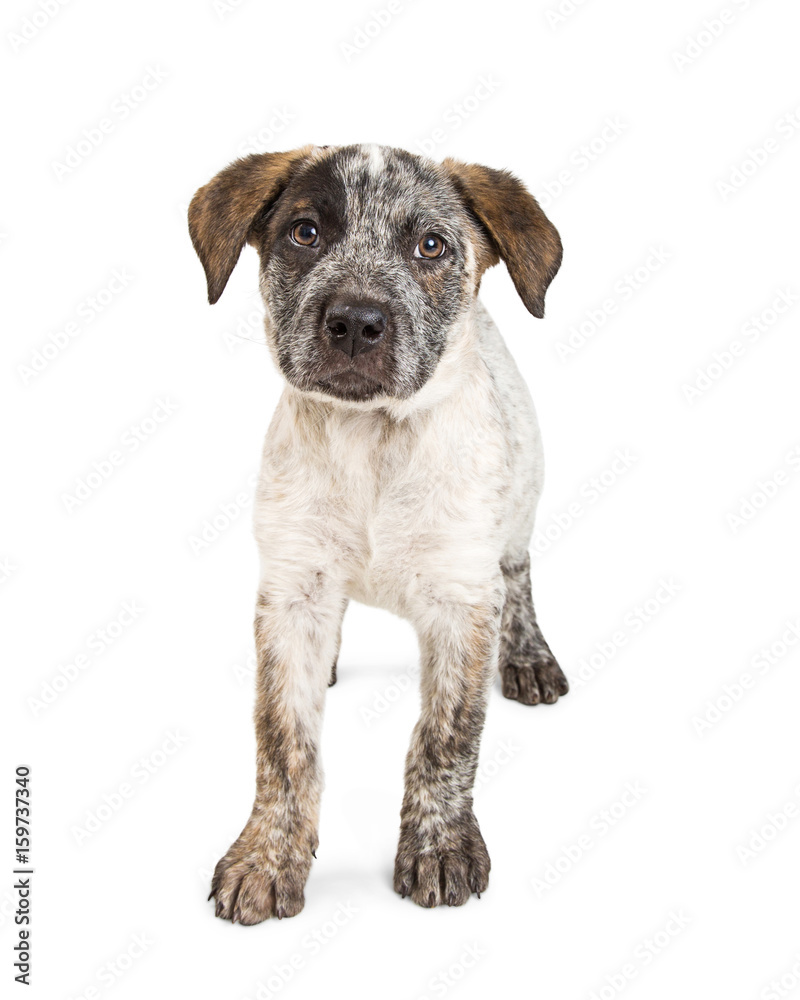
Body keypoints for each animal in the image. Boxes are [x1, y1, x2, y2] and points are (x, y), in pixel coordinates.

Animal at [191, 141, 568, 920]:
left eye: (432, 246)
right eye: (305, 232)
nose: (357, 321)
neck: (373, 441)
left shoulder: (463, 602)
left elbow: (446, 739)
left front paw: (440, 847)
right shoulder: (291, 590)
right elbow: (283, 742)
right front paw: (266, 855)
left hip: (521, 504)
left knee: (518, 575)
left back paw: (529, 656)